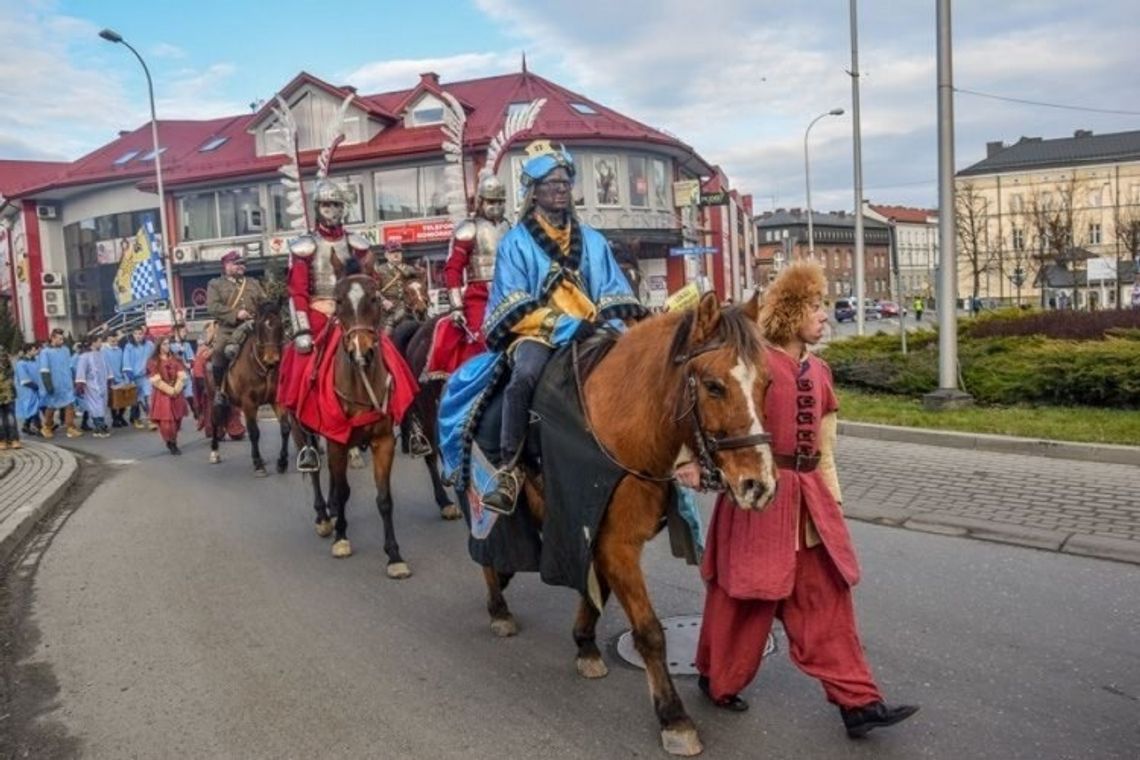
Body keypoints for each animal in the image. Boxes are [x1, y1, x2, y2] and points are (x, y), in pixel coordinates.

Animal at [205, 300, 287, 476]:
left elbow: (284, 428)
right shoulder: (249, 403)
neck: (263, 367)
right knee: (215, 420)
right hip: (215, 399)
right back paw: (214, 451)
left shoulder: (276, 400)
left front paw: (282, 462)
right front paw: (258, 464)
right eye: (261, 326)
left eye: (280, 325)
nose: (272, 359)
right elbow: (254, 432)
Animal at [289, 273, 410, 576]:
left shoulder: (383, 442)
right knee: (317, 472)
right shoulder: (335, 440)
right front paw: (341, 539)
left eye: (375, 298)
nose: (361, 351)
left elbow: (384, 498)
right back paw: (324, 517)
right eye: (340, 301)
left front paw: (394, 555)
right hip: (300, 429)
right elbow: (344, 491)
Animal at [471, 291, 775, 756]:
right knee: (488, 551)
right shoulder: (615, 543)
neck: (620, 430)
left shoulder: (605, 536)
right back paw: (499, 608)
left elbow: (597, 592)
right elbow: (649, 631)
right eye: (714, 386)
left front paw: (585, 645)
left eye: (767, 384)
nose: (759, 485)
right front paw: (674, 717)